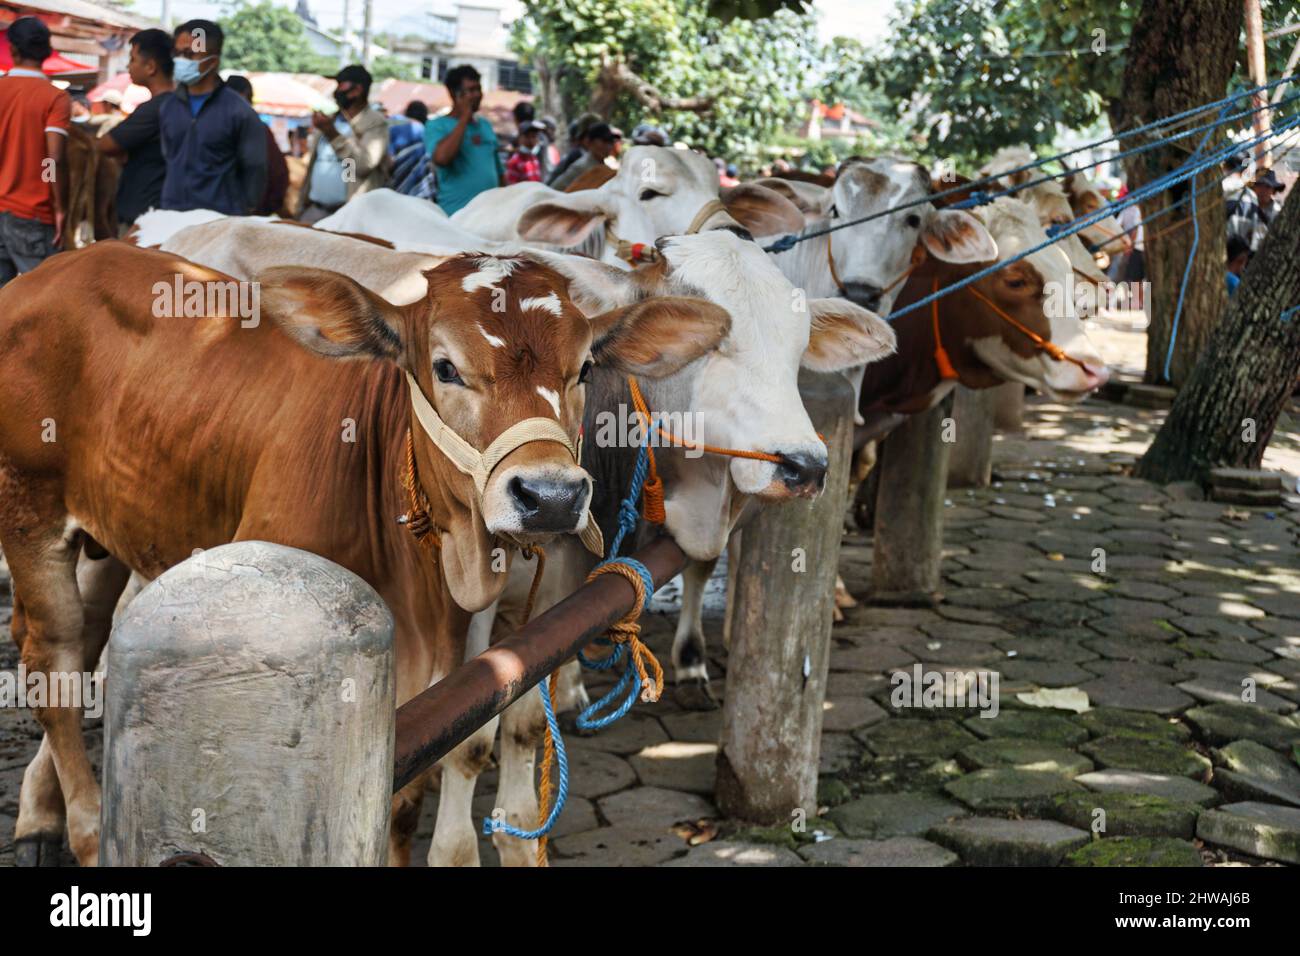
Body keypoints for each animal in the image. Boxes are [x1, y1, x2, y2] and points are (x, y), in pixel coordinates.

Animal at [0, 239, 733, 868]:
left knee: (86, 640)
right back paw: (81, 831)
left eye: (583, 369)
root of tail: (55, 268)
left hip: (108, 535)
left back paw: (40, 815)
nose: (549, 494)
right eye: (445, 366)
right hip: (30, 516)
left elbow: (403, 809)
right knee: (53, 662)